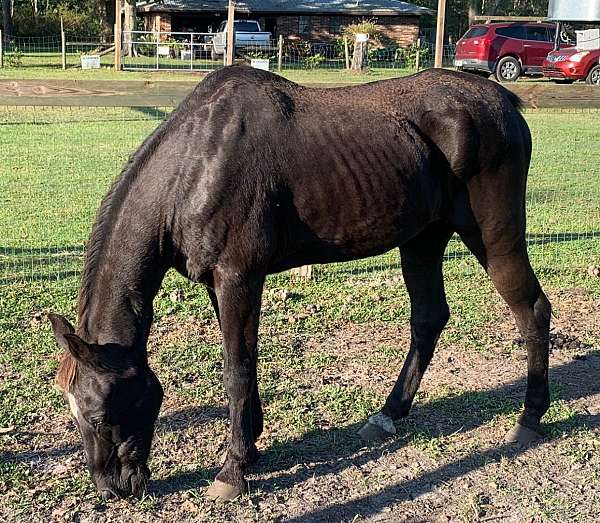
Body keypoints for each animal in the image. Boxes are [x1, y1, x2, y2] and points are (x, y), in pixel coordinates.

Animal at [49, 66, 552, 504]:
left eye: (97, 414)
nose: (112, 488)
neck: (195, 165)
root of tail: (501, 101)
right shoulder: (220, 285)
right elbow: (246, 364)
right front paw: (251, 447)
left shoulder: (238, 278)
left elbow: (236, 370)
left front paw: (232, 470)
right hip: (423, 241)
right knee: (429, 319)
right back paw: (388, 414)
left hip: (494, 237)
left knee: (532, 310)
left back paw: (529, 419)